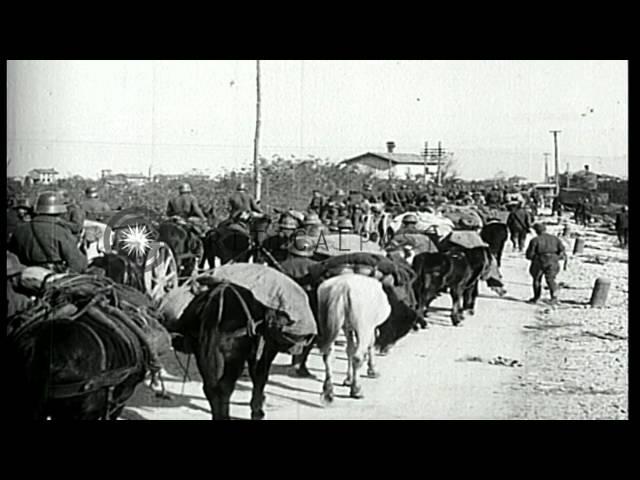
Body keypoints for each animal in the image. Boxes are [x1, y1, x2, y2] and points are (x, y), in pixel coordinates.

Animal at [316, 274, 390, 402]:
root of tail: (342, 287)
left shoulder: (348, 328)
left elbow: (349, 349)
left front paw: (348, 379)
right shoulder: (369, 326)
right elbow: (370, 345)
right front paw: (372, 370)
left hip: (326, 324)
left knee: (328, 356)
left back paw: (328, 390)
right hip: (363, 326)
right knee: (357, 357)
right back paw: (356, 390)